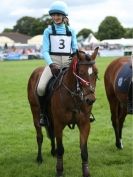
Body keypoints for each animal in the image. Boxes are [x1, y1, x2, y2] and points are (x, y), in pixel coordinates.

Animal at [27, 47, 98, 177]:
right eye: (81, 73)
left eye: (96, 73)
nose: (90, 100)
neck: (74, 96)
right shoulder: (59, 124)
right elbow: (61, 149)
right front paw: (59, 171)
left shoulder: (84, 124)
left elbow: (84, 150)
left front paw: (86, 172)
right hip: (35, 113)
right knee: (39, 136)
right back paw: (39, 158)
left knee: (51, 134)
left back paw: (52, 152)